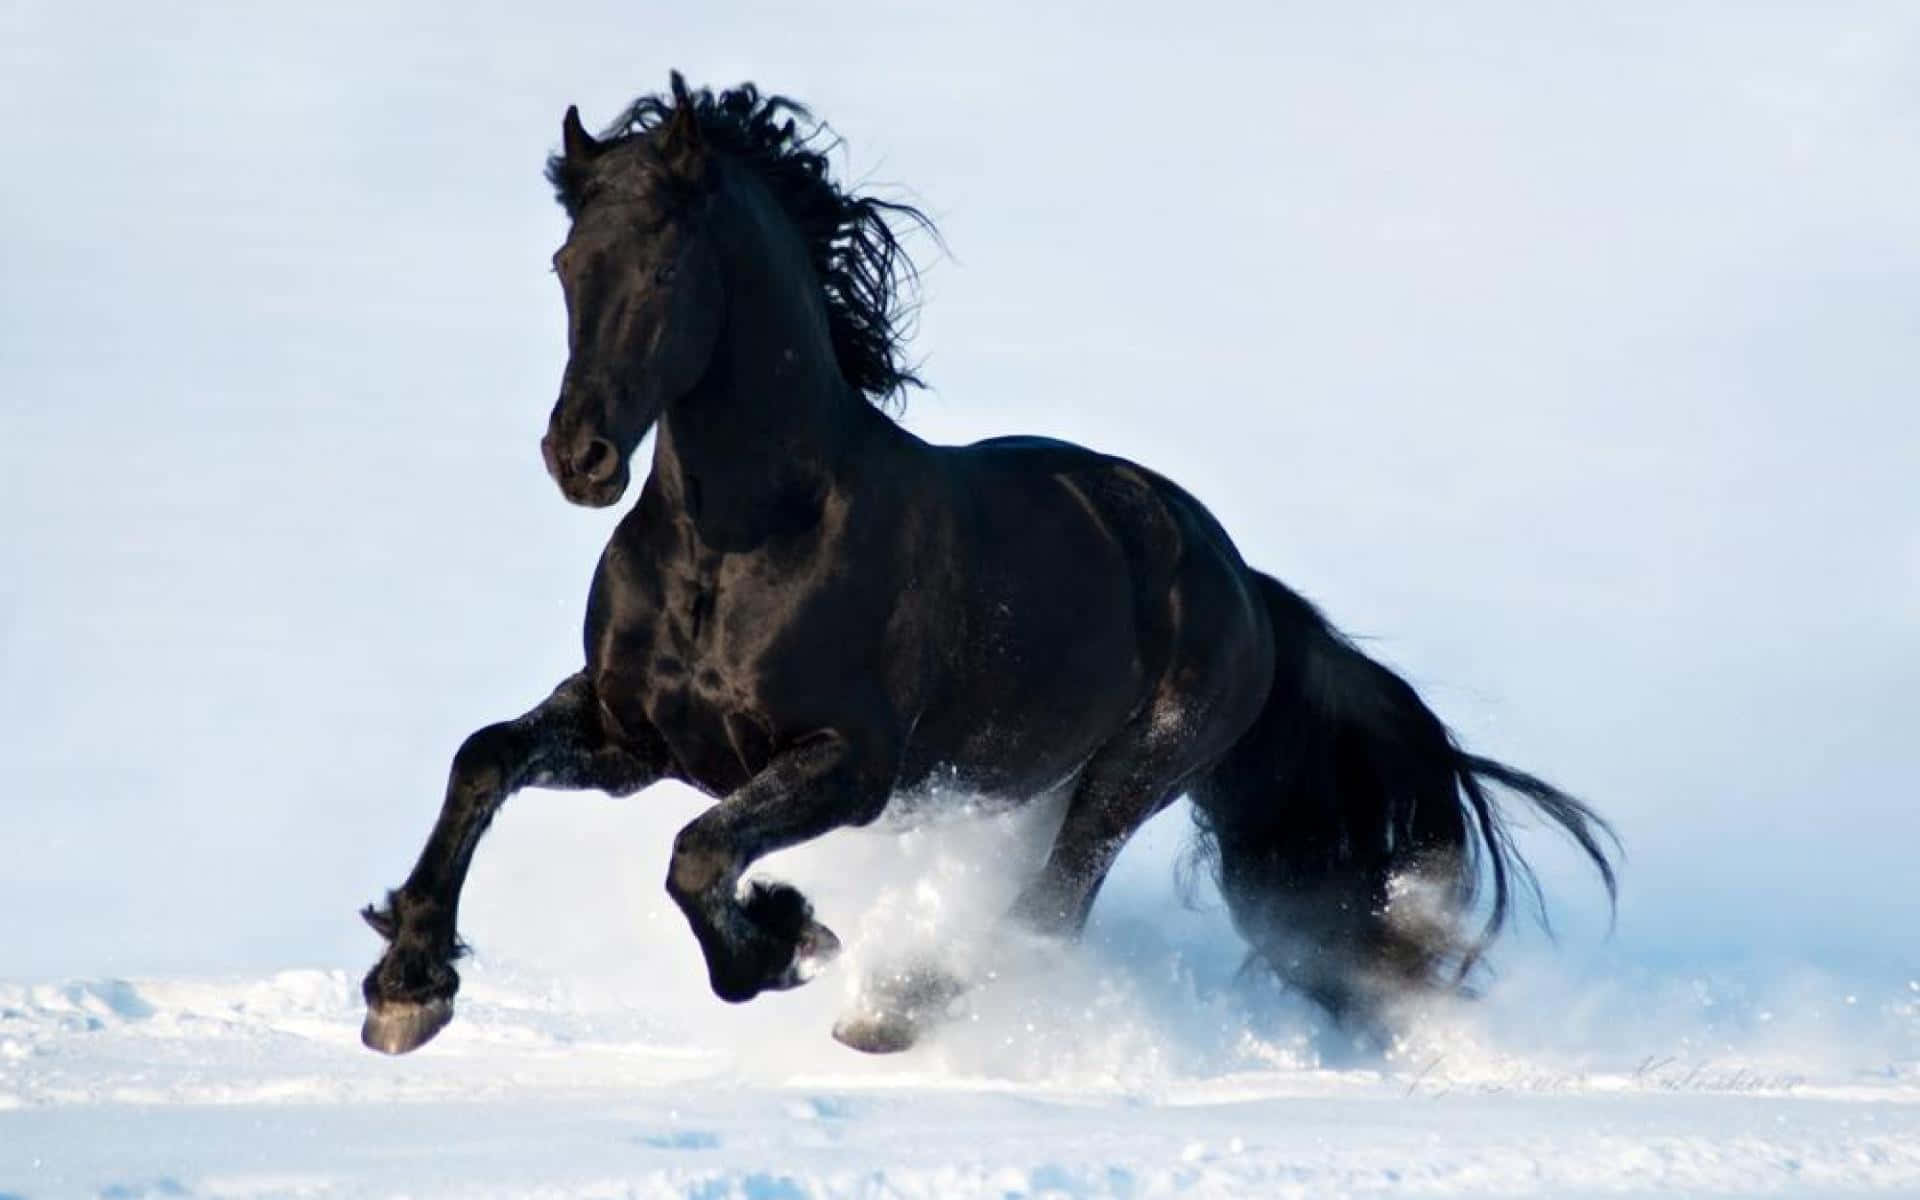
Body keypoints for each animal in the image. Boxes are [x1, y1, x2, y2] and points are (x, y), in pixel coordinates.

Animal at [359, 74, 1618, 1057]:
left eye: (665, 273)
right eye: (567, 261)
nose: (578, 457)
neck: (740, 543)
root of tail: (1242, 585)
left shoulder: (850, 765)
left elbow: (697, 854)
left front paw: (788, 938)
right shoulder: (635, 738)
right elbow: (486, 760)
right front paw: (409, 985)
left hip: (1127, 778)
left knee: (1048, 910)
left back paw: (896, 1007)